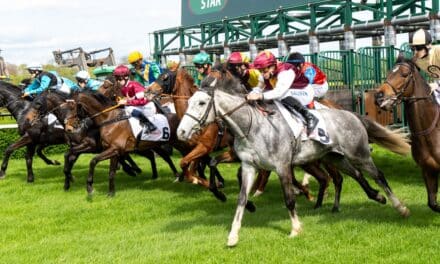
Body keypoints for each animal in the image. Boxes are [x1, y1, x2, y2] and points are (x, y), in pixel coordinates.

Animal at [177, 70, 410, 248]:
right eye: (189, 101)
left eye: (201, 102)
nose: (181, 131)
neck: (251, 126)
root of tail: (351, 114)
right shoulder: (249, 166)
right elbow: (241, 199)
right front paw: (233, 235)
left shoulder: (282, 166)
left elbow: (289, 198)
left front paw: (296, 228)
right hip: (335, 157)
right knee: (354, 175)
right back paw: (374, 197)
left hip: (358, 153)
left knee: (378, 175)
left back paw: (400, 208)